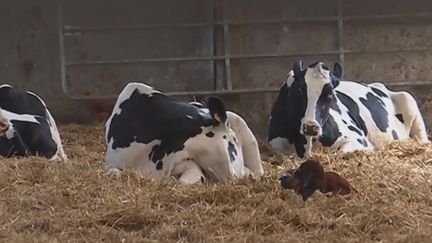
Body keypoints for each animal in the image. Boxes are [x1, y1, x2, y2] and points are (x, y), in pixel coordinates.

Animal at [270, 59, 428, 157]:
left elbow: (342, 152)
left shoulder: (358, 138)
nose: (311, 127)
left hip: (409, 101)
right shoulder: (275, 144)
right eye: (299, 90)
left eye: (330, 93)